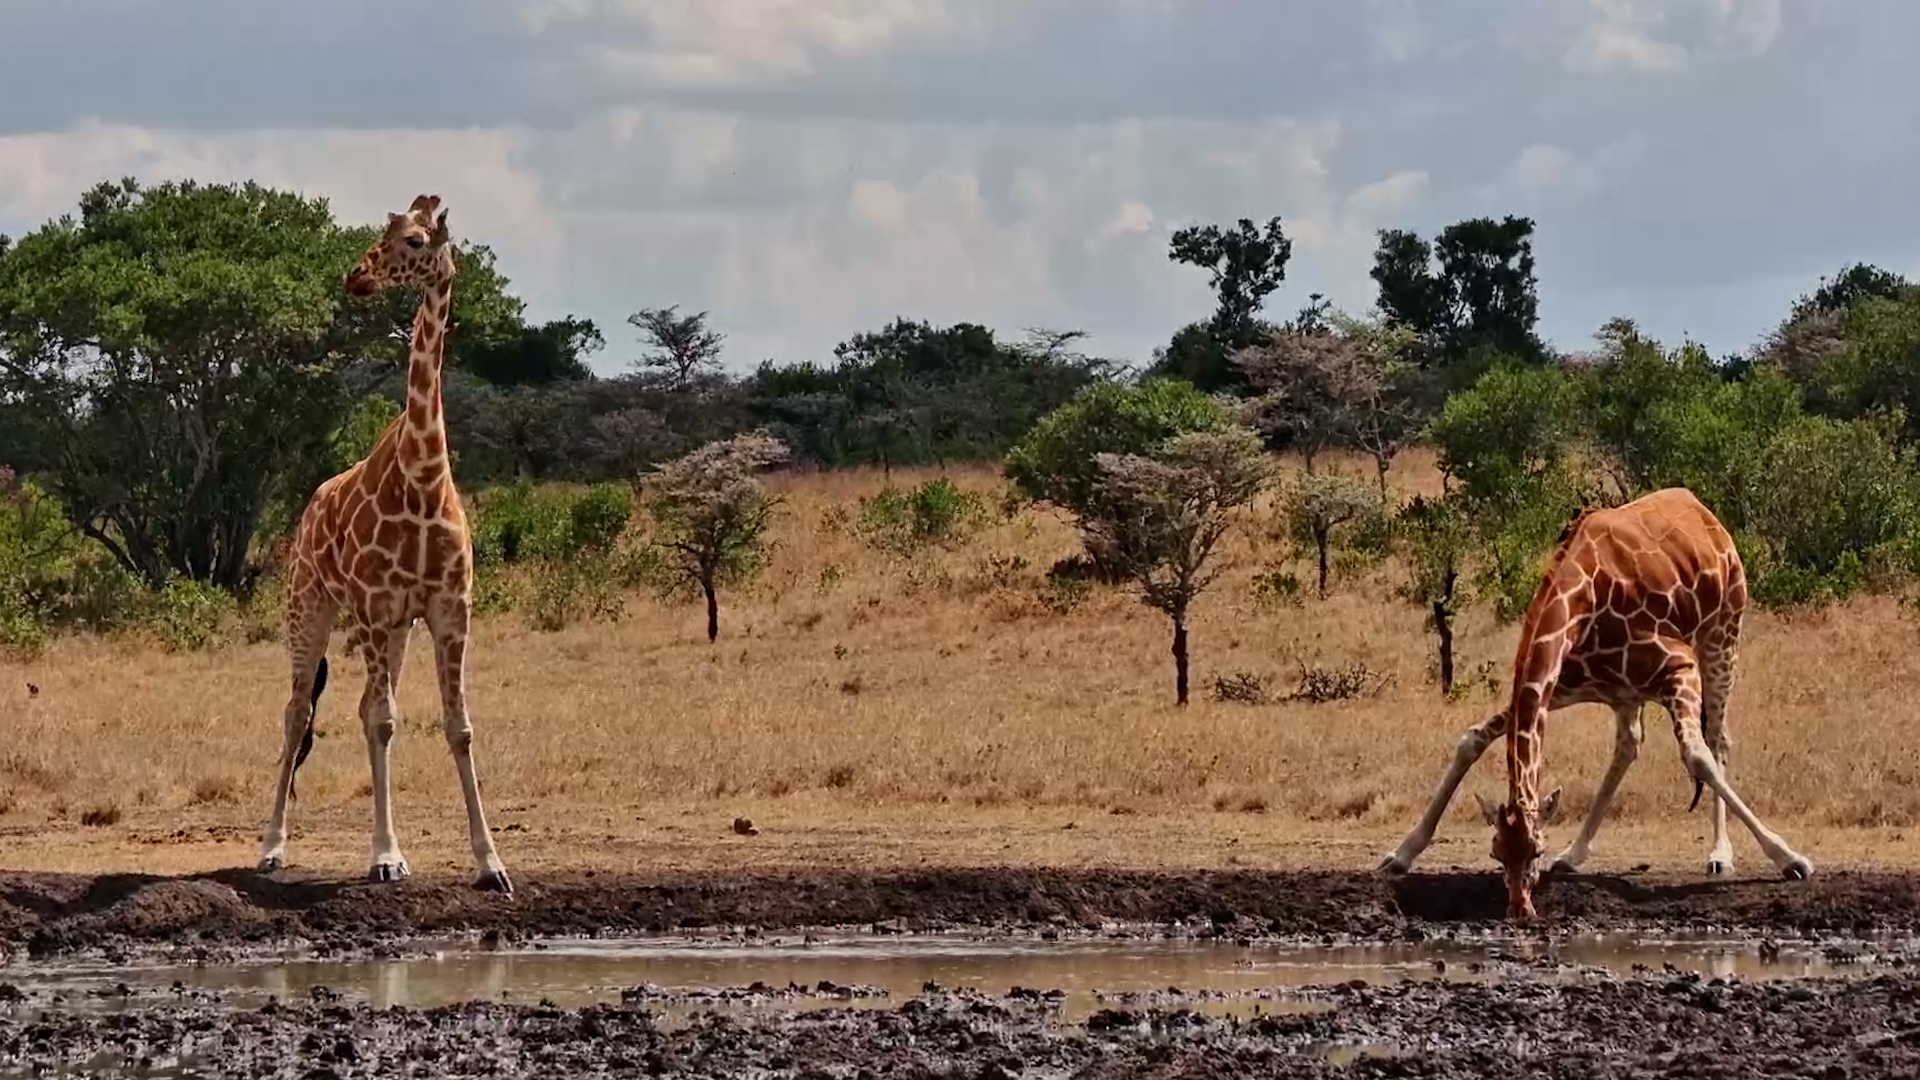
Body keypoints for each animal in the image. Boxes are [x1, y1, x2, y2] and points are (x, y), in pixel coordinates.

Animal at [256, 194, 512, 895]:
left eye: (418, 240)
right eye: (384, 230)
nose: (357, 277)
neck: (423, 476)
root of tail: (309, 505)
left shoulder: (448, 610)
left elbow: (459, 727)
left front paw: (491, 863)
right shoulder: (372, 608)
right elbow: (385, 721)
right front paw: (384, 856)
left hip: (395, 630)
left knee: (363, 705)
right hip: (309, 607)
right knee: (296, 713)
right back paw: (272, 846)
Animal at [1376, 486, 1811, 923]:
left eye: (1536, 850)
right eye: (1496, 854)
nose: (1520, 908)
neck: (1581, 605)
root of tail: (1700, 508)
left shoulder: (1679, 666)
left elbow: (1697, 756)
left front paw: (1790, 858)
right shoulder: (1559, 686)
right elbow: (1471, 740)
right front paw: (1400, 854)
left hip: (1721, 637)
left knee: (1717, 738)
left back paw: (1720, 854)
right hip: (1627, 692)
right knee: (1628, 745)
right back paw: (1574, 853)